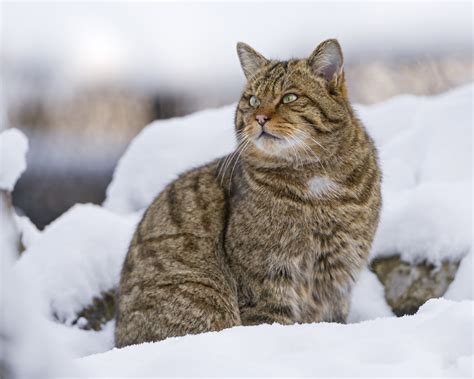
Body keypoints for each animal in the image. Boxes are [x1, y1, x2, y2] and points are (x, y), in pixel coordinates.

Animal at [115, 39, 382, 348]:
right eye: (253, 100)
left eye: (289, 97)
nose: (260, 117)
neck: (316, 181)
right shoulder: (267, 277)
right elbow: (271, 322)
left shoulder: (339, 275)